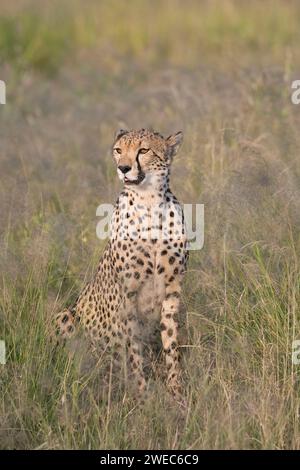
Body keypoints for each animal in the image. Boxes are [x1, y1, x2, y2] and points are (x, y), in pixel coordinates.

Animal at [55, 127, 189, 400]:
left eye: (143, 150)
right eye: (118, 150)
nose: (124, 168)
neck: (149, 204)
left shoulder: (172, 291)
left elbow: (171, 342)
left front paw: (176, 389)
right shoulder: (127, 295)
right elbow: (133, 349)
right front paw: (142, 394)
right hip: (67, 315)